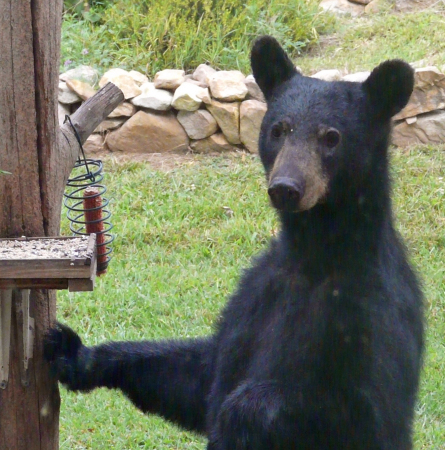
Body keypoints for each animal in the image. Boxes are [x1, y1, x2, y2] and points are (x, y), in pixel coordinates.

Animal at [45, 36, 424, 450]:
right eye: (279, 129)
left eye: (332, 137)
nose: (286, 187)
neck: (314, 253)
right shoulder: (257, 294)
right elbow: (203, 375)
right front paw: (76, 354)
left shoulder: (369, 309)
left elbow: (362, 410)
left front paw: (240, 415)